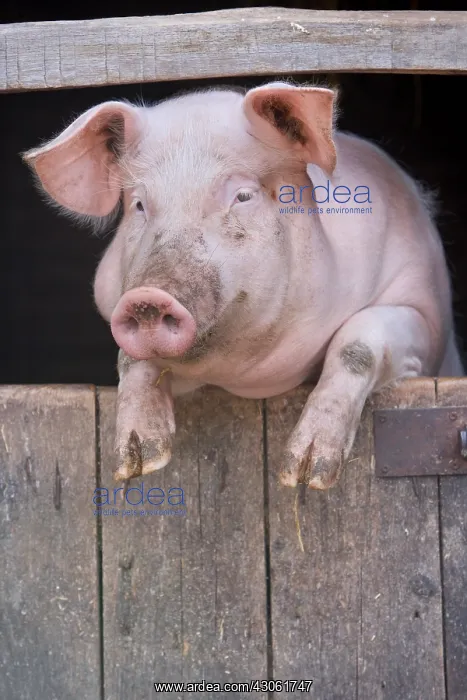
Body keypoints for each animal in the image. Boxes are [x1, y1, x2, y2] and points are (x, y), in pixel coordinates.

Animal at [23, 81, 464, 490]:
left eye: (243, 196)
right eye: (139, 206)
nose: (148, 297)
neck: (254, 379)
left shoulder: (423, 312)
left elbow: (356, 345)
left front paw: (305, 474)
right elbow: (131, 359)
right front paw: (138, 461)